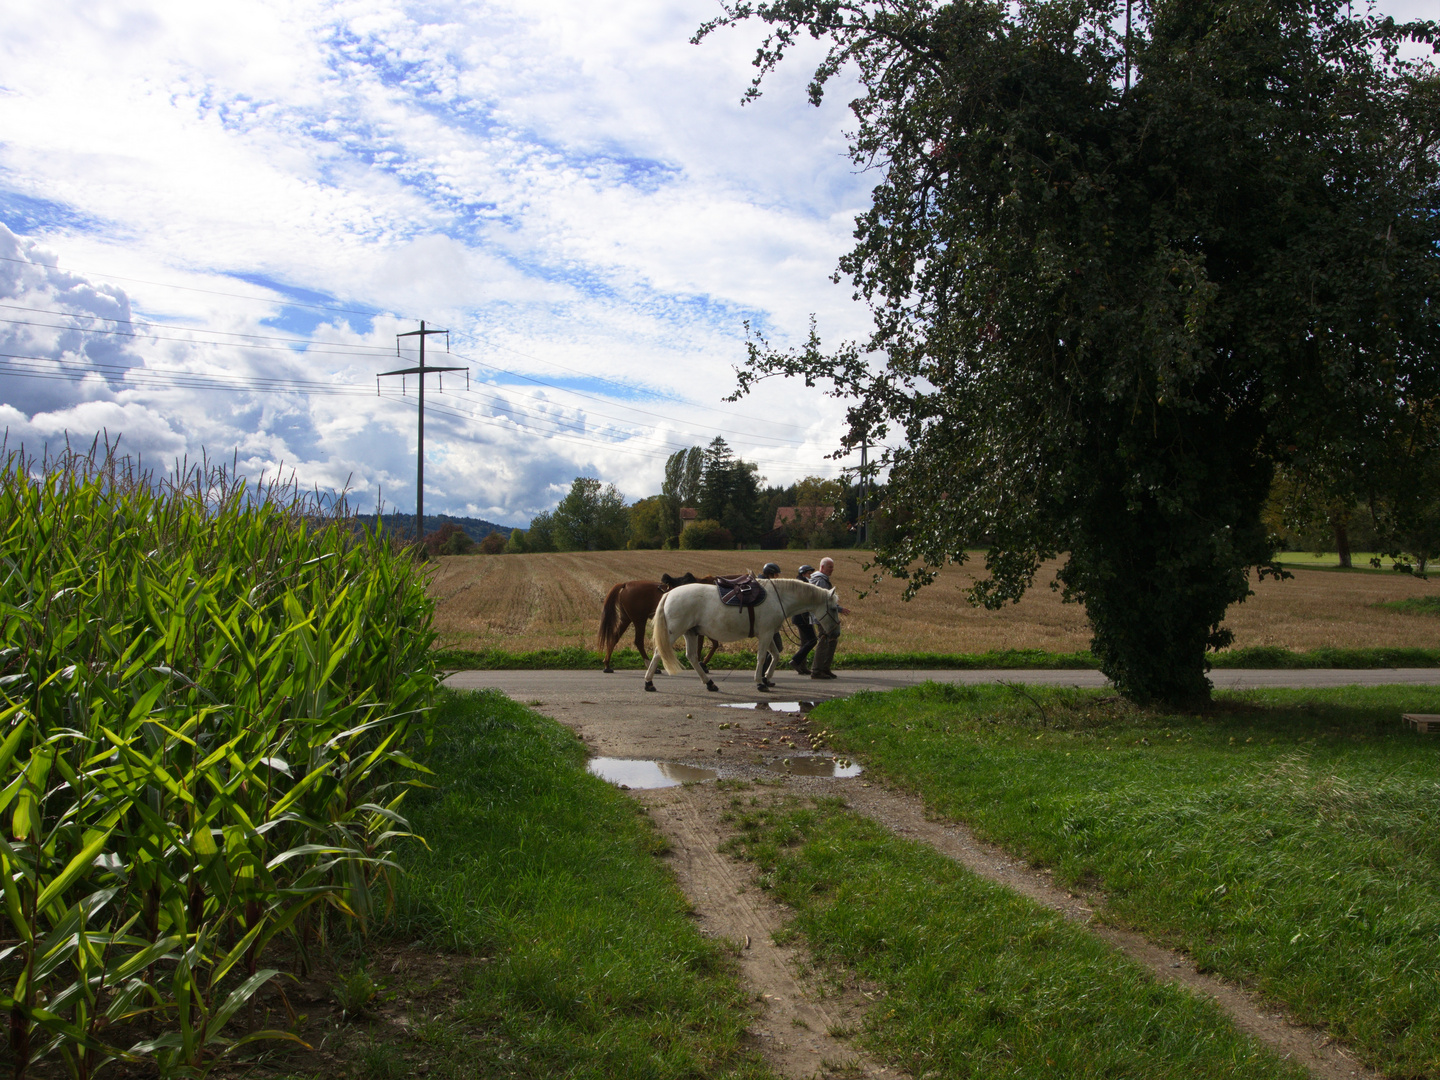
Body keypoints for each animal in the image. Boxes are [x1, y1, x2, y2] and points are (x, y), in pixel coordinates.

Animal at [645, 584, 840, 694]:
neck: (778, 598)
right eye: (834, 608)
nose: (835, 632)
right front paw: (760, 683)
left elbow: (775, 655)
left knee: (692, 657)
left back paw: (710, 684)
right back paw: (649, 683)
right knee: (658, 653)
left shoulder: (768, 634)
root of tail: (669, 594)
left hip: (691, 633)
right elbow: (762, 657)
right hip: (674, 632)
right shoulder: (766, 634)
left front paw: (767, 678)